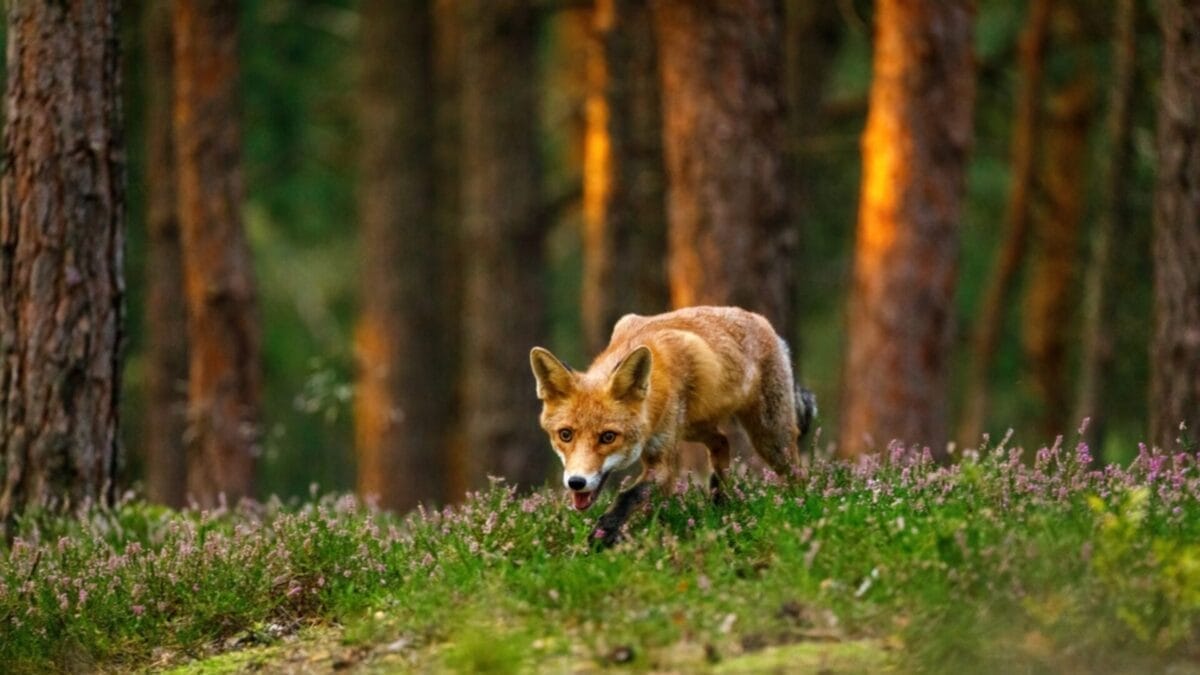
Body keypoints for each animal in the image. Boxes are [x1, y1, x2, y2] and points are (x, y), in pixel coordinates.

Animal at [529, 305, 816, 546]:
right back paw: (719, 499)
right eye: (565, 434)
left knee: (797, 473)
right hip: (692, 428)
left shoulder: (664, 463)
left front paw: (605, 535)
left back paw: (802, 506)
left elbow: (629, 496)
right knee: (722, 442)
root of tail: (763, 322)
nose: (576, 482)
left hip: (770, 439)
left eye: (608, 437)